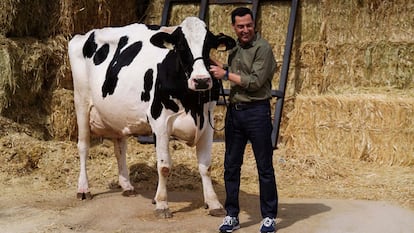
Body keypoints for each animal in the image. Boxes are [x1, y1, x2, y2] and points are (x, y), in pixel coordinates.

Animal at [68, 16, 236, 218]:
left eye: (208, 45)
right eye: (181, 46)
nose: (202, 80)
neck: (191, 103)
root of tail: (84, 35)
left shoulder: (207, 123)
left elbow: (206, 166)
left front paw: (213, 203)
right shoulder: (160, 122)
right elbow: (164, 166)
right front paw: (162, 204)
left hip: (117, 115)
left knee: (120, 149)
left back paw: (127, 186)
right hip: (81, 103)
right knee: (83, 146)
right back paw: (83, 189)